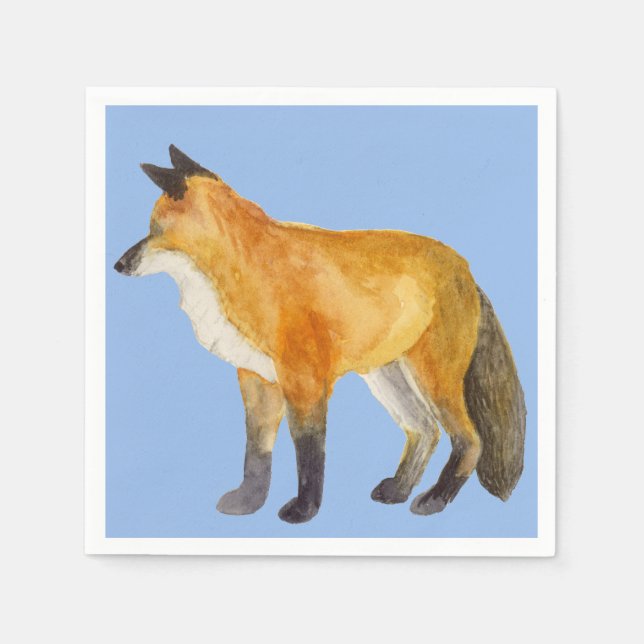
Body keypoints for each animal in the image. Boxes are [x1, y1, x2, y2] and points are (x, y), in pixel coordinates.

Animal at [114, 144, 526, 524]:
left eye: (153, 229)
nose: (118, 265)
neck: (244, 269)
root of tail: (466, 269)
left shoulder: (305, 381)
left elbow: (309, 453)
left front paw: (304, 510)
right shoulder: (256, 379)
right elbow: (256, 454)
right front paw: (249, 502)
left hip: (434, 379)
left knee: (470, 440)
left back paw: (436, 499)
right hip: (388, 378)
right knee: (425, 431)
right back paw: (399, 489)